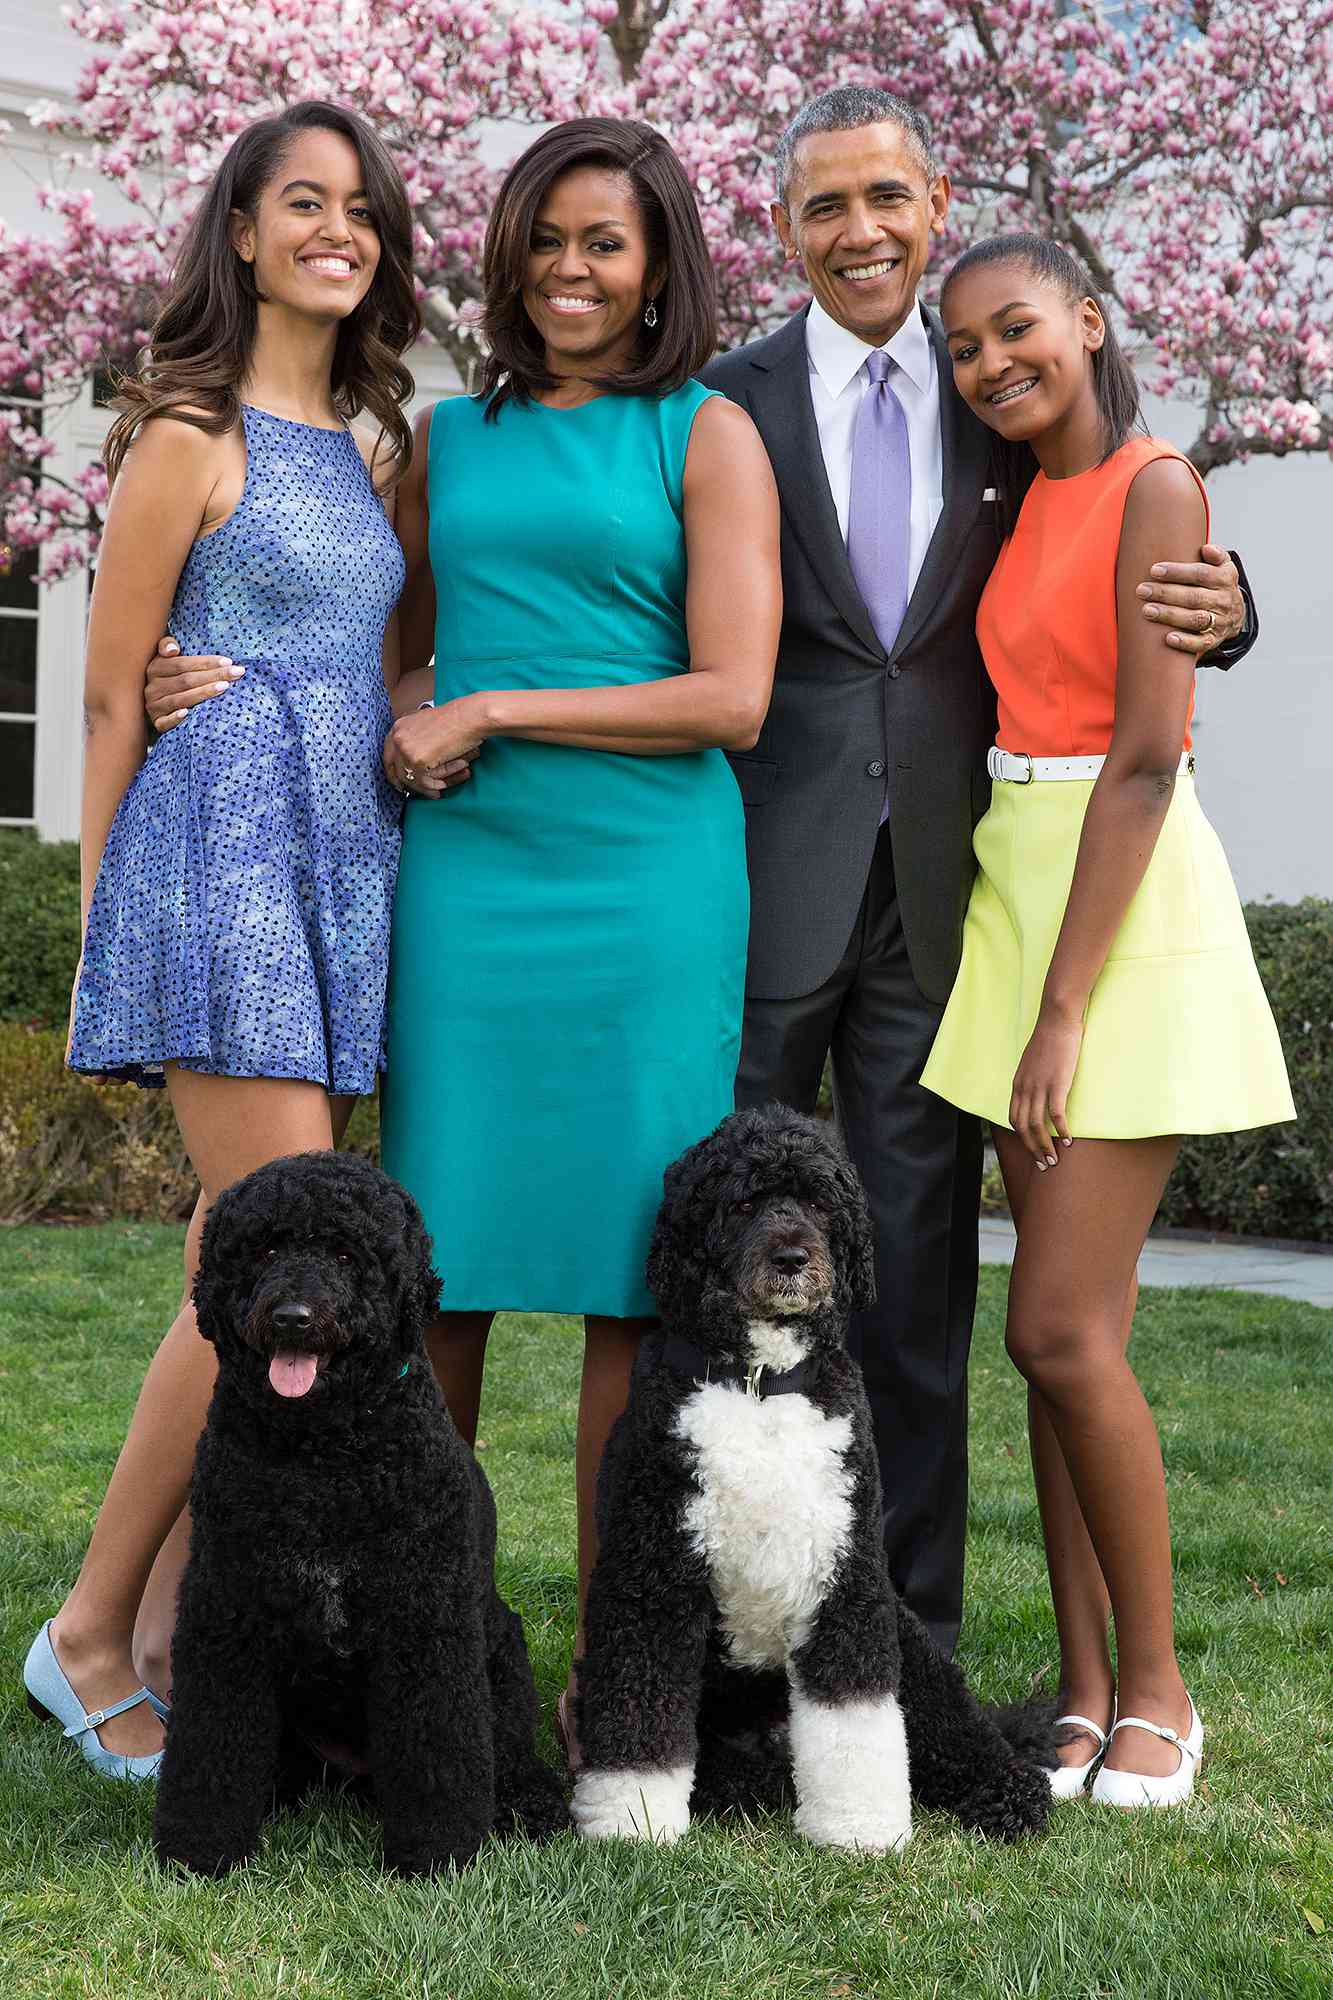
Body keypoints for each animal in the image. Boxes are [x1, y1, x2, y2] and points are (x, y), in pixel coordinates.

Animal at [152, 1152, 564, 1880]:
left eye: (347, 1254)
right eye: (266, 1249)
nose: (291, 1316)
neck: (322, 1458)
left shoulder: (422, 1621)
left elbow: (437, 1752)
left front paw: (438, 1853)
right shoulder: (227, 1610)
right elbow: (211, 1742)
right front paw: (201, 1846)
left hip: (501, 1653)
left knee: (508, 1756)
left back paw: (530, 1805)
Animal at [564, 1104, 1056, 1848]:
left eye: (821, 1204)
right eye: (742, 1203)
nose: (792, 1258)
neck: (761, 1382)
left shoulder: (846, 1580)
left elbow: (854, 1717)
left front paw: (858, 1827)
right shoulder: (651, 1577)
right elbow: (639, 1710)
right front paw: (632, 1819)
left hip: (909, 1642)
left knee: (956, 1729)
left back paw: (1009, 1792)